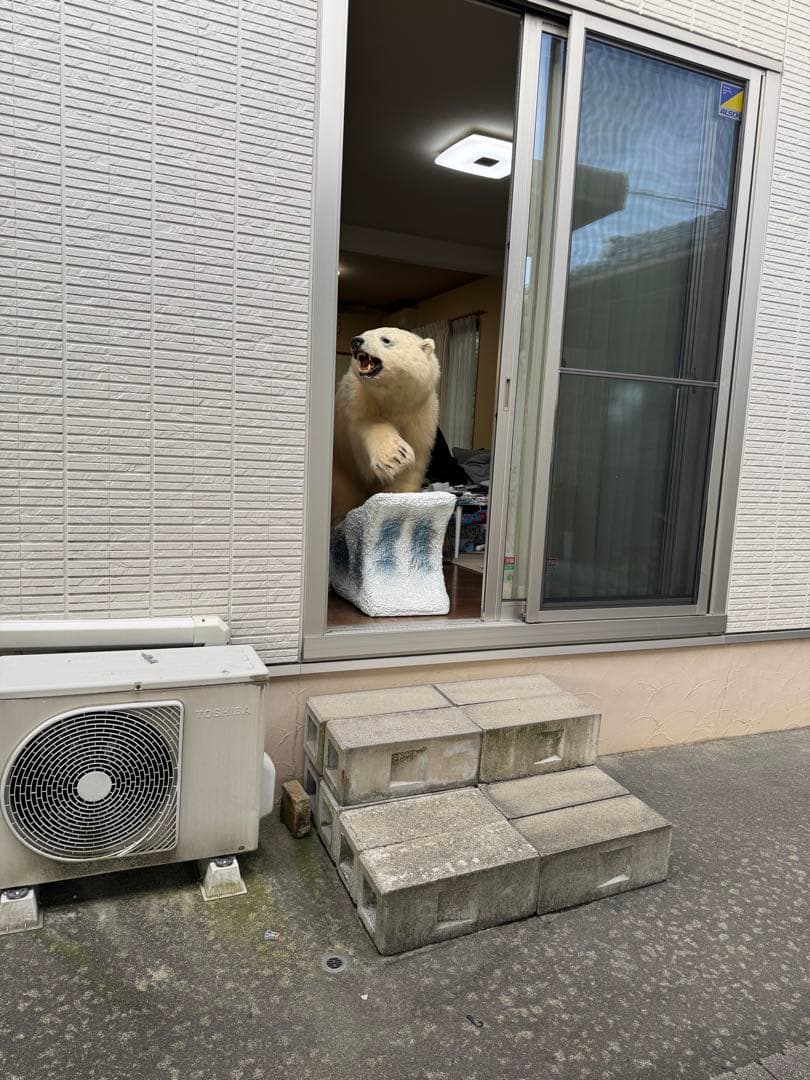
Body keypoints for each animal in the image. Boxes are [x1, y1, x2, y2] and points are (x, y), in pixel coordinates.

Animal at [331, 326, 440, 526]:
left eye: (386, 340)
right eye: (363, 334)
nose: (356, 342)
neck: (394, 401)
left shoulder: (421, 415)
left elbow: (414, 463)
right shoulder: (359, 400)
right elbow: (371, 425)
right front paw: (397, 457)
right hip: (342, 466)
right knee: (345, 494)